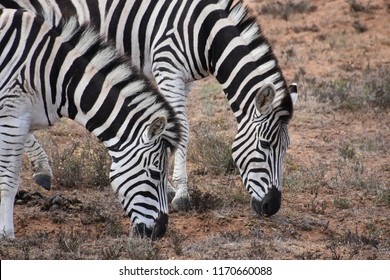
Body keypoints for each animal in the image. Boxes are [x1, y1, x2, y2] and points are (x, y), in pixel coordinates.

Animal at [0, 9, 181, 241]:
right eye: (156, 174)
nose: (159, 233)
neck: (55, 74)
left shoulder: (23, 119)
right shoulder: (13, 117)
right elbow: (10, 177)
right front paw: (6, 233)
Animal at [1, 0, 298, 217]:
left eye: (286, 148)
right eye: (265, 144)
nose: (272, 207)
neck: (205, 32)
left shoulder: (184, 79)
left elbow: (171, 129)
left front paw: (169, 186)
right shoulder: (167, 68)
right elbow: (181, 128)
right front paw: (180, 194)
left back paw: (41, 168)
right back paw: (41, 167)